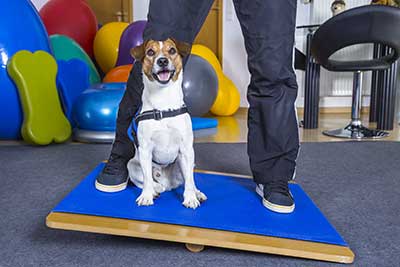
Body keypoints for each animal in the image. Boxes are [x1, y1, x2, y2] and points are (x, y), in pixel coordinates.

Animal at [126, 38, 208, 209]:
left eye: (172, 51)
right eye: (150, 52)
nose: (162, 61)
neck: (163, 102)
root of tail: (168, 184)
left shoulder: (186, 149)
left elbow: (189, 181)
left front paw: (190, 198)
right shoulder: (145, 150)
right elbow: (147, 180)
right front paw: (146, 196)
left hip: (188, 162)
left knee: (189, 180)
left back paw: (197, 193)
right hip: (131, 164)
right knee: (148, 181)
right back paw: (155, 190)